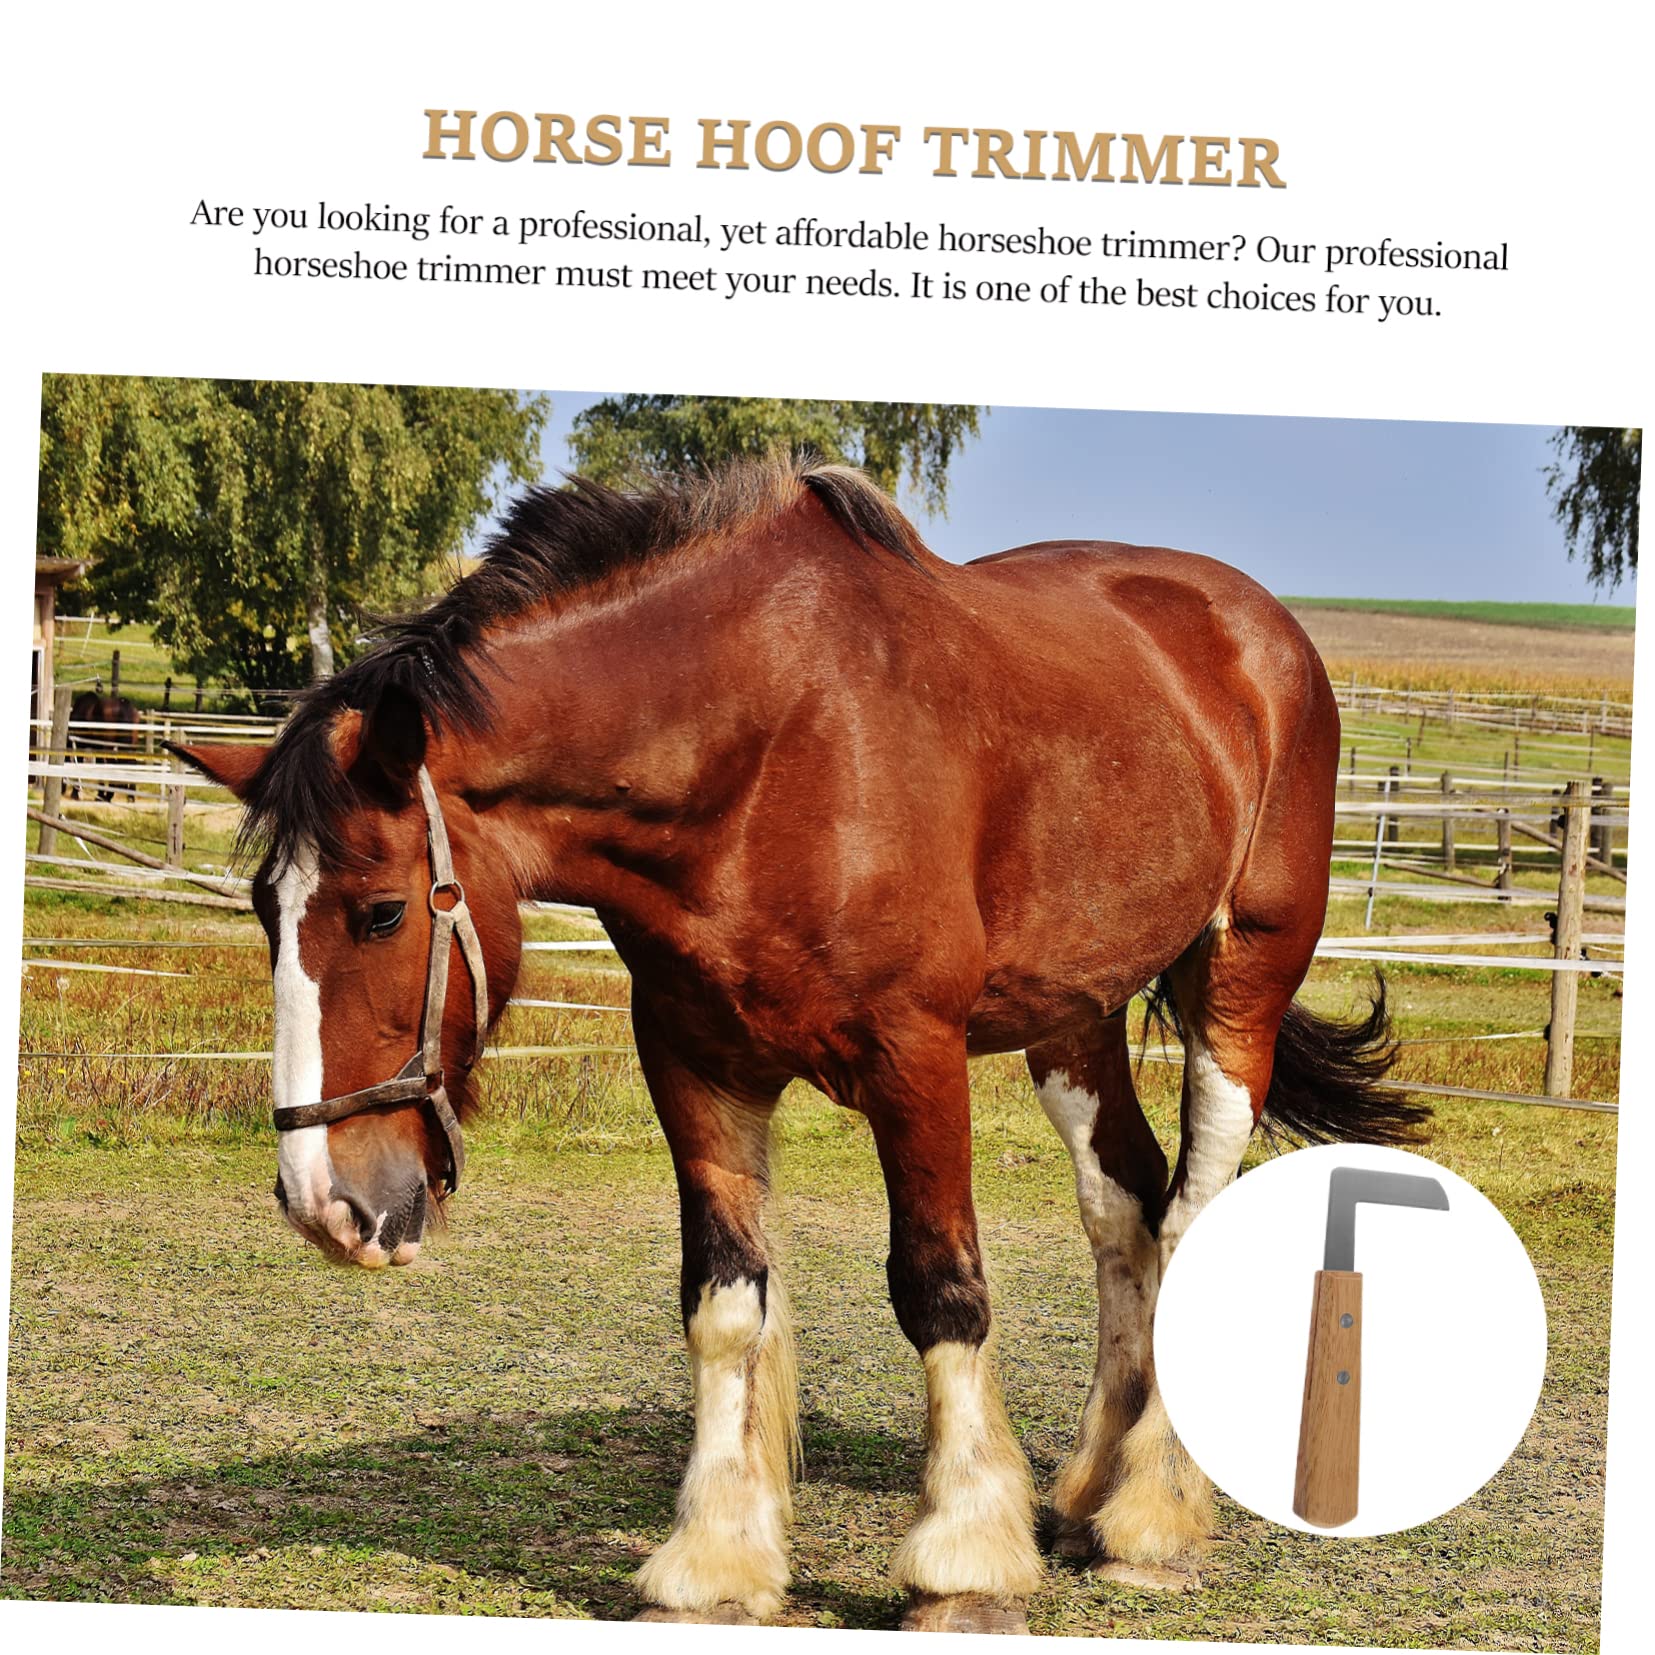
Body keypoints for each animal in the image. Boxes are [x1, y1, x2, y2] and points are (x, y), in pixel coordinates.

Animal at [174, 454, 1424, 1634]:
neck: (762, 747)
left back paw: (1150, 1514)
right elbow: (724, 1301)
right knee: (1121, 1206)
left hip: (1237, 981)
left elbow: (940, 1290)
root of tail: (1256, 631)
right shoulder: (695, 1060)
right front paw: (716, 1558)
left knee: (1190, 1200)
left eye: (382, 910)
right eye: (265, 908)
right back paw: (1083, 1491)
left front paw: (962, 1563)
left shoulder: (914, 1055)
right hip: (1073, 1014)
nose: (325, 1201)